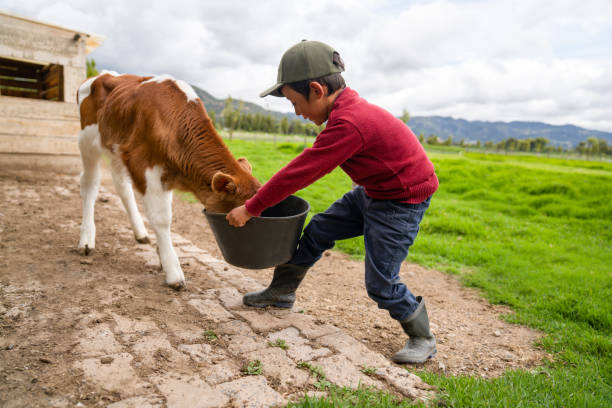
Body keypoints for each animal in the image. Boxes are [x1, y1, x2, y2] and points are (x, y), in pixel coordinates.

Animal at [76, 72, 258, 290]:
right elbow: (162, 218)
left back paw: (140, 232)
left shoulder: (166, 175)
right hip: (87, 143)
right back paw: (86, 239)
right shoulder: (144, 166)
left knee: (122, 187)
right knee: (89, 185)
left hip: (116, 151)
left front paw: (161, 253)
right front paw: (172, 270)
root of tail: (103, 74)